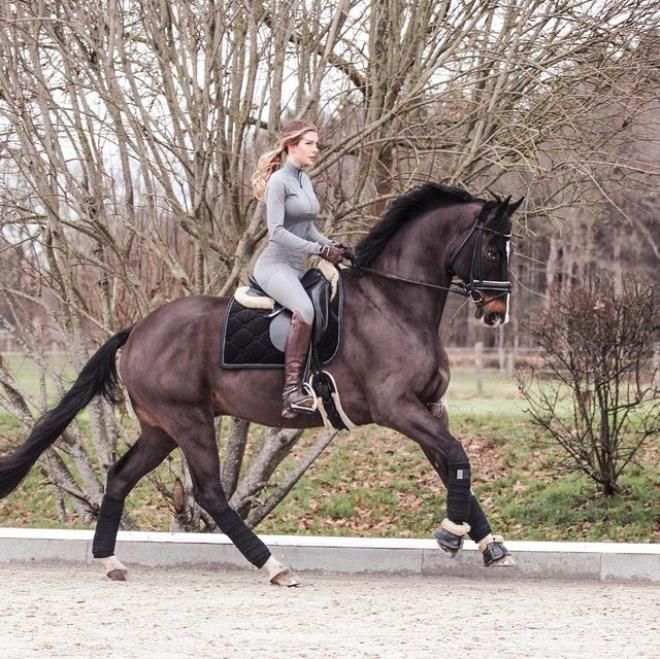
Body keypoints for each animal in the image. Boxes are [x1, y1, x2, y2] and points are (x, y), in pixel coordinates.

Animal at [1, 183, 520, 584]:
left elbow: (452, 463)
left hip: (160, 428)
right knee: (211, 493)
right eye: (494, 249)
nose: (498, 313)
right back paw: (274, 566)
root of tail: (140, 328)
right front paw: (450, 534)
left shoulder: (429, 407)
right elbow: (456, 455)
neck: (394, 303)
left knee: (121, 477)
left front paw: (490, 545)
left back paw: (109, 561)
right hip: (188, 420)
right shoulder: (397, 407)